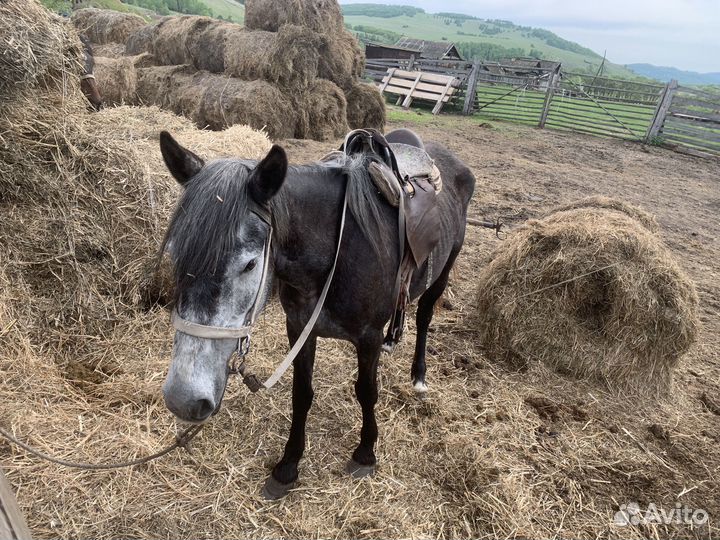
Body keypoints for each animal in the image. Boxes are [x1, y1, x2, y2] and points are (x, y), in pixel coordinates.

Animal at [158, 128, 475, 499]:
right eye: (175, 253)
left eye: (249, 264)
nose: (183, 398)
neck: (339, 249)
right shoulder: (299, 329)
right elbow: (302, 394)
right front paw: (288, 466)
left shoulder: (367, 336)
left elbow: (366, 391)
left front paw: (365, 453)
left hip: (444, 270)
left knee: (424, 315)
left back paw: (419, 376)